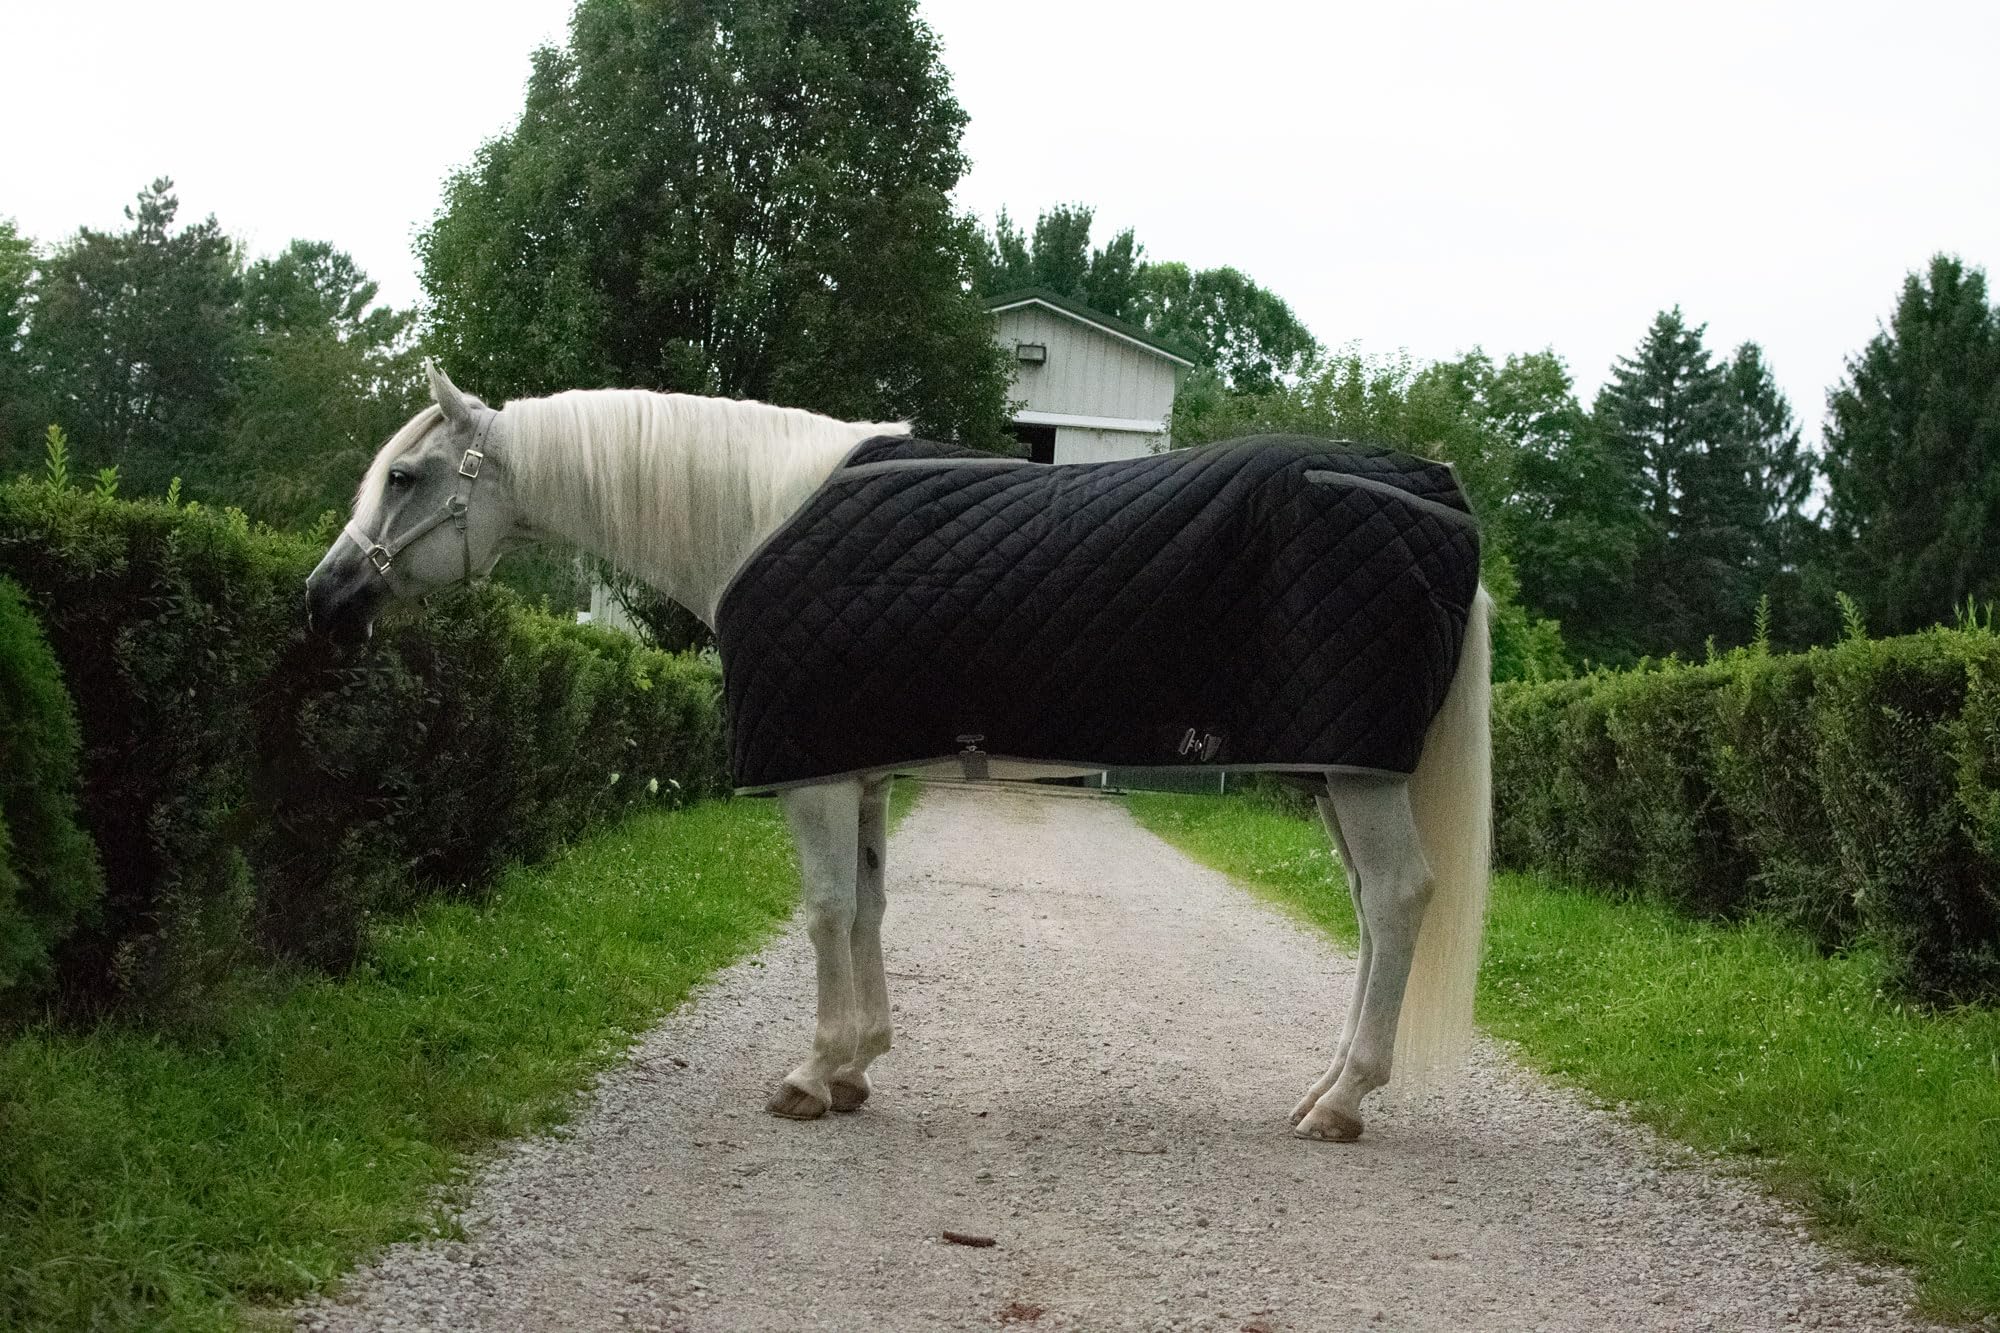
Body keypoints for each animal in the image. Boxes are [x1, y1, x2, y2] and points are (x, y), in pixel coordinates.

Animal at [305, 362, 1492, 1144]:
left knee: (1396, 898)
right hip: (1337, 773)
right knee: (1371, 909)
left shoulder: (817, 773)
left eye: (406, 477)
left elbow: (828, 910)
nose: (324, 596)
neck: (751, 518)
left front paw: (811, 1072)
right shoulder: (862, 767)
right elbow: (870, 905)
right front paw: (858, 1066)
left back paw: (1343, 1100)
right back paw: (1325, 1085)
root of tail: (1437, 491)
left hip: (1355, 775)